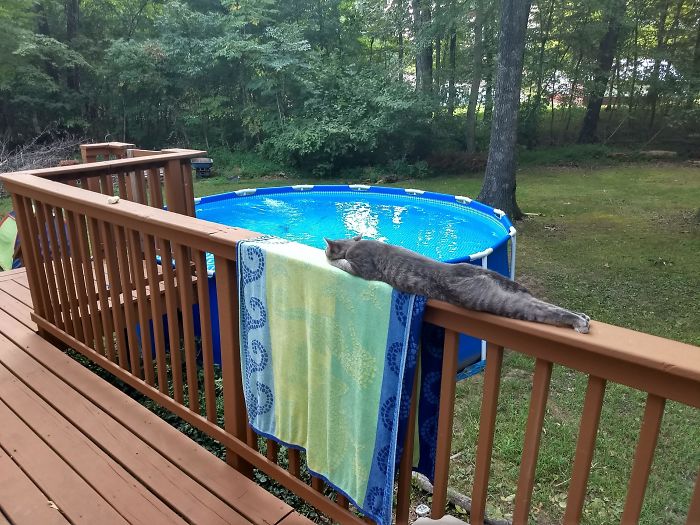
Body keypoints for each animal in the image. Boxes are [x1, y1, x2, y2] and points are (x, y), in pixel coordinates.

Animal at [326, 236, 588, 332]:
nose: (325, 250)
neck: (354, 243)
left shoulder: (362, 268)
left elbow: (343, 264)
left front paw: (332, 259)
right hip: (508, 290)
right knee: (539, 302)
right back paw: (582, 317)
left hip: (493, 300)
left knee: (541, 310)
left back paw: (577, 321)